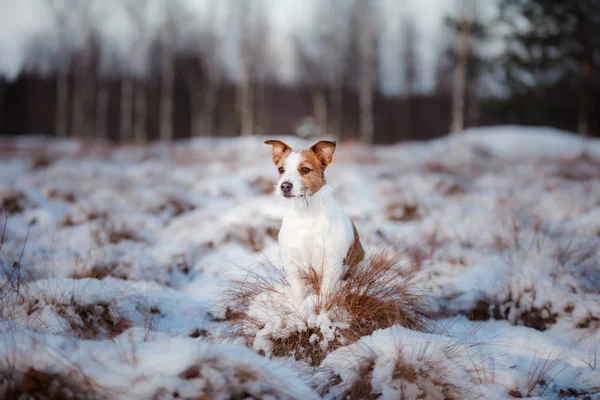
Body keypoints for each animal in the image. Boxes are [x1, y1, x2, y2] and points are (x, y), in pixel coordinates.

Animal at [264, 139, 366, 302]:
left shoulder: (331, 264)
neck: (305, 215)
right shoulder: (292, 262)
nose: (284, 186)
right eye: (281, 169)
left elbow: (325, 294)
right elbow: (298, 292)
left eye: (305, 169)